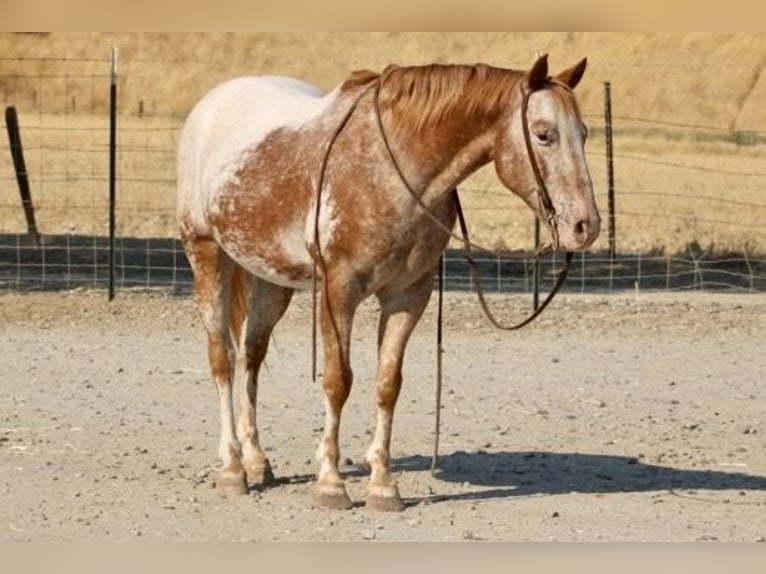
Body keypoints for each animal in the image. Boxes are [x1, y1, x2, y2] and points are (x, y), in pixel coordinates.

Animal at [177, 55, 604, 512]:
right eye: (544, 134)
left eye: (583, 133)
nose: (585, 226)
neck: (392, 168)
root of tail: (209, 106)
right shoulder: (339, 291)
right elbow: (337, 381)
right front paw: (330, 484)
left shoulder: (408, 295)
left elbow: (388, 384)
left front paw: (382, 486)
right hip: (206, 254)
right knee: (222, 358)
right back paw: (233, 470)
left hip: (271, 279)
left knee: (251, 357)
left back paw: (257, 461)